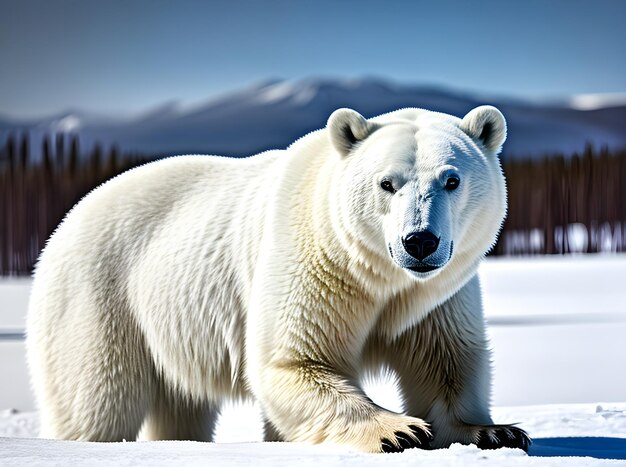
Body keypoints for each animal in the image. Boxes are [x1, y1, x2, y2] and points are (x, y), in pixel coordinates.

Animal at [28, 105, 528, 454]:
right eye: (387, 183)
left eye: (451, 180)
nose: (419, 240)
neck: (377, 278)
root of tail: (67, 220)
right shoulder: (312, 262)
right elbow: (291, 361)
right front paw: (398, 431)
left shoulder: (437, 296)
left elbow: (446, 361)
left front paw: (493, 431)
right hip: (99, 296)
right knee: (96, 400)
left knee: (180, 400)